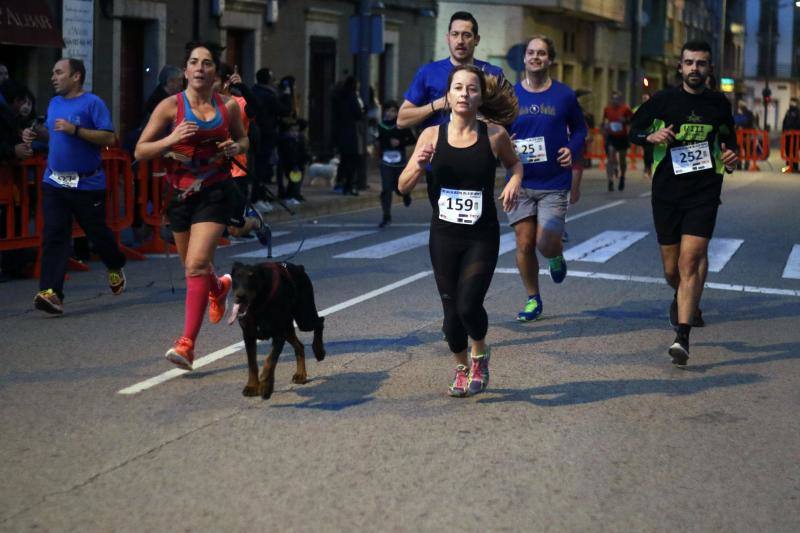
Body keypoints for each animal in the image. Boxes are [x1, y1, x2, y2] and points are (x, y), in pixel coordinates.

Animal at [228, 260, 324, 396]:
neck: (257, 306)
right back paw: (301, 374)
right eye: (236, 277)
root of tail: (299, 267)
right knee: (299, 346)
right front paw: (252, 386)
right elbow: (252, 363)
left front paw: (266, 385)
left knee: (320, 321)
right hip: (288, 327)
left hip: (304, 317)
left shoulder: (278, 334)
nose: (240, 296)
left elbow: (270, 360)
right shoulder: (248, 335)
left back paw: (319, 350)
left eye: (252, 277)